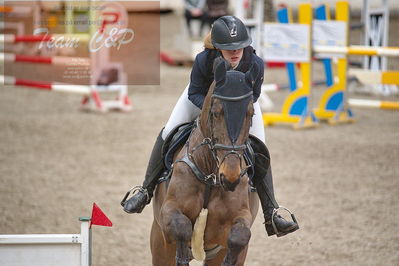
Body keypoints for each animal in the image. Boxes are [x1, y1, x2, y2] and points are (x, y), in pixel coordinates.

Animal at [150, 60, 260, 266]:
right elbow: (182, 226)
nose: (230, 177)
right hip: (159, 245)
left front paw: (229, 261)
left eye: (251, 113)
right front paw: (183, 256)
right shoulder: (168, 212)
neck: (210, 176)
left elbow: (239, 237)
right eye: (216, 113)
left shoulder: (241, 218)